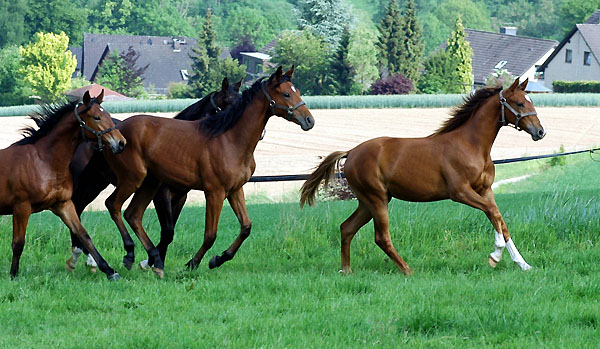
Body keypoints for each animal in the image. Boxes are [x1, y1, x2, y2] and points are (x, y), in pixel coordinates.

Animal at [0, 90, 125, 280]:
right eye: (96, 117)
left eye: (109, 115)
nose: (121, 142)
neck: (44, 161)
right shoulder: (21, 207)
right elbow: (18, 243)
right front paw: (13, 275)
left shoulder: (63, 204)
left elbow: (84, 235)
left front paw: (109, 271)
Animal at [64, 77, 243, 270]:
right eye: (229, 102)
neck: (181, 144)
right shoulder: (161, 194)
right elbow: (168, 231)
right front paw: (150, 261)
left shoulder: (180, 197)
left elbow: (169, 233)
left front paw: (154, 261)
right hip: (91, 181)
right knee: (77, 206)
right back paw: (84, 255)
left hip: (96, 182)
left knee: (78, 207)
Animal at [101, 66, 314, 278]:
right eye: (286, 94)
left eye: (297, 91)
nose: (309, 120)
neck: (229, 139)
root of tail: (116, 132)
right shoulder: (214, 193)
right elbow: (210, 234)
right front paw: (193, 263)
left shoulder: (235, 190)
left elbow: (246, 227)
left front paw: (218, 259)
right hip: (132, 179)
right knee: (113, 205)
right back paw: (130, 256)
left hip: (149, 184)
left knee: (133, 214)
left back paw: (153, 262)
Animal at [300, 77, 544, 274]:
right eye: (520, 103)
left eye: (530, 101)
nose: (540, 132)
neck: (471, 145)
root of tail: (351, 153)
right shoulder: (460, 192)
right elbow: (493, 214)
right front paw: (494, 257)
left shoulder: (485, 190)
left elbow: (500, 220)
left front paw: (523, 264)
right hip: (376, 199)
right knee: (381, 237)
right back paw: (407, 270)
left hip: (368, 201)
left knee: (347, 228)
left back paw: (346, 270)